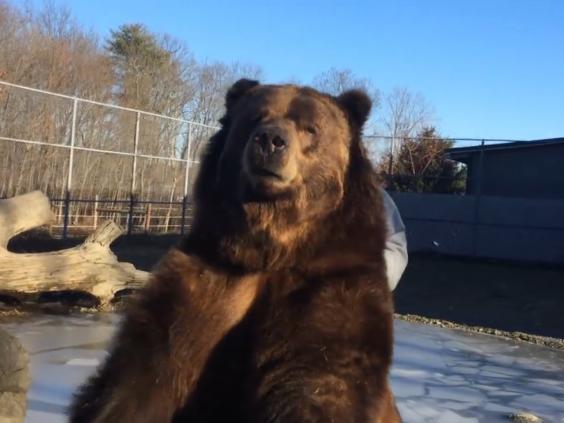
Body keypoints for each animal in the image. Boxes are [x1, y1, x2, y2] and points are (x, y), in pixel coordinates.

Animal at [69, 80, 400, 423]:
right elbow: (142, 377)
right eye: (255, 118)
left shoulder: (333, 285)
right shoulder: (207, 282)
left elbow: (321, 380)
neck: (271, 248)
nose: (270, 140)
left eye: (311, 127)